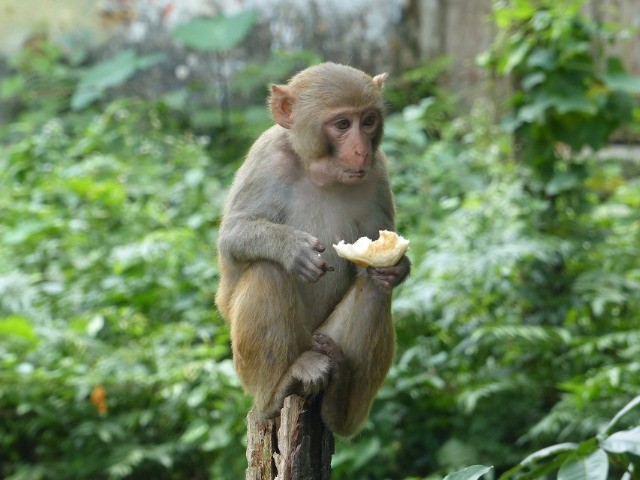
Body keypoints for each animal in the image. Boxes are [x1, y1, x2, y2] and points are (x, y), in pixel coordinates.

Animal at [215, 62, 410, 437]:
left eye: (368, 120)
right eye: (342, 124)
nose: (362, 150)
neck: (319, 174)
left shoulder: (377, 173)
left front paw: (398, 266)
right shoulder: (265, 160)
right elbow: (232, 237)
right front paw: (291, 247)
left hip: (324, 339)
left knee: (374, 289)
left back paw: (339, 405)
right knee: (267, 269)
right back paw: (281, 386)